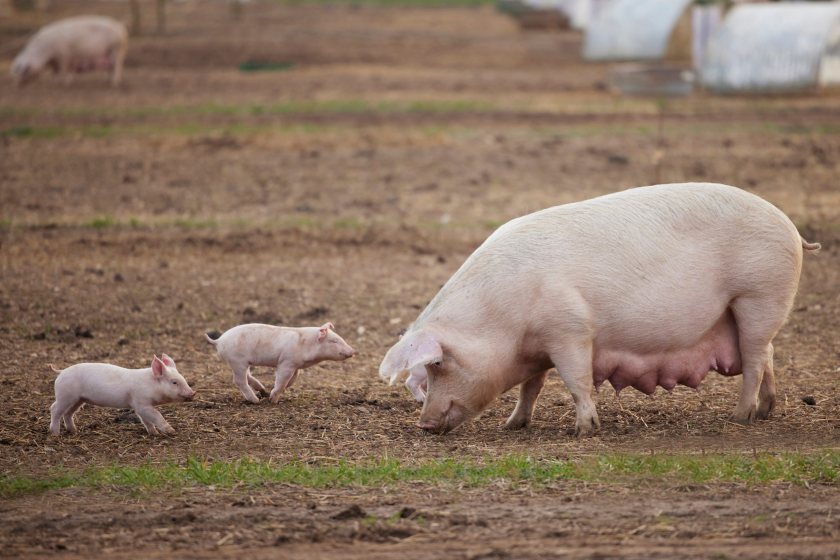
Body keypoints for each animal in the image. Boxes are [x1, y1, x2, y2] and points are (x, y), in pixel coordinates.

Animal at [49, 354, 196, 436]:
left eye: (183, 378)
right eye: (174, 382)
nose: (193, 392)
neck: (151, 385)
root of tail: (61, 372)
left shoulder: (139, 406)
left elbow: (146, 421)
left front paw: (153, 433)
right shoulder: (141, 403)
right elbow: (156, 415)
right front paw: (172, 431)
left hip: (78, 399)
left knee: (68, 413)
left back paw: (74, 431)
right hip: (65, 396)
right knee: (54, 409)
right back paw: (55, 434)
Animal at [205, 322, 356, 404]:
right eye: (334, 341)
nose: (353, 351)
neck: (306, 344)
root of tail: (218, 340)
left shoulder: (295, 365)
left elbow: (293, 379)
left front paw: (277, 392)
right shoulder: (286, 362)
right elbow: (282, 380)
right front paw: (273, 400)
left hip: (242, 362)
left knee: (247, 376)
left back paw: (262, 390)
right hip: (237, 361)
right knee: (239, 380)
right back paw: (256, 400)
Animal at [379, 183, 821, 436]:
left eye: (438, 364)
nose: (424, 424)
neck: (503, 320)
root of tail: (792, 228)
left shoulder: (569, 330)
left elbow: (576, 381)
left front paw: (585, 430)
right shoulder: (538, 347)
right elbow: (532, 386)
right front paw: (513, 425)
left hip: (758, 296)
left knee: (756, 359)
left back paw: (740, 417)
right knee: (768, 355)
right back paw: (766, 412)